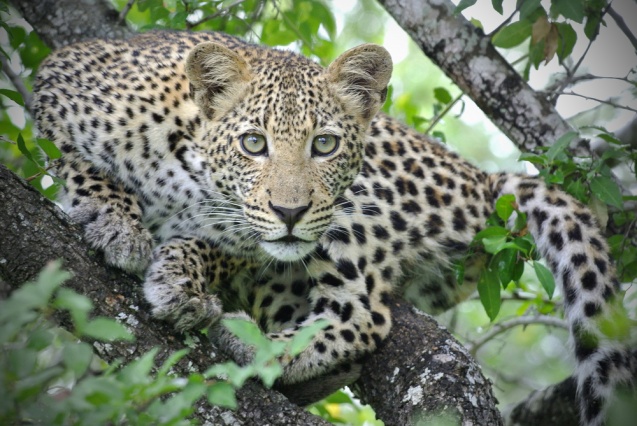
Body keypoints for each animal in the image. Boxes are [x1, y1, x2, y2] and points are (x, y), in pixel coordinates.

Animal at [33, 30, 632, 426]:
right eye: (253, 143)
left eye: (324, 144)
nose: (290, 212)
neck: (192, 173)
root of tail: (482, 179)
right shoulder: (56, 78)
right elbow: (74, 156)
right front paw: (120, 223)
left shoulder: (251, 239)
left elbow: (216, 244)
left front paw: (179, 279)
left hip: (355, 211)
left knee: (363, 316)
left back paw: (252, 343)